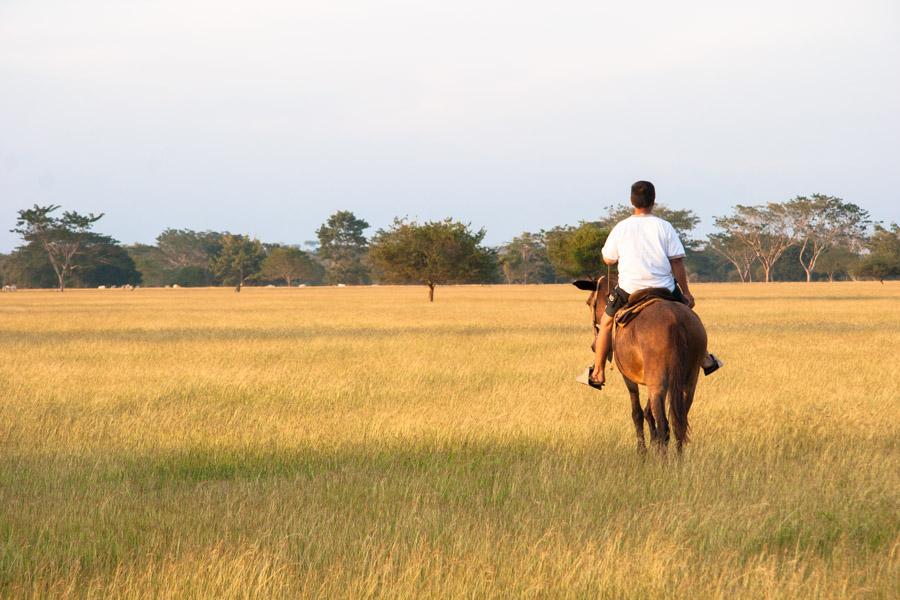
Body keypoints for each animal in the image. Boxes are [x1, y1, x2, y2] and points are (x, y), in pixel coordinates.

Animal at [572, 274, 708, 452]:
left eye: (589, 302)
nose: (594, 346)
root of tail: (676, 321)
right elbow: (648, 413)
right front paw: (653, 445)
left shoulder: (629, 377)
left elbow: (637, 413)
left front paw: (642, 451)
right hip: (689, 381)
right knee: (680, 422)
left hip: (658, 383)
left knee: (665, 425)